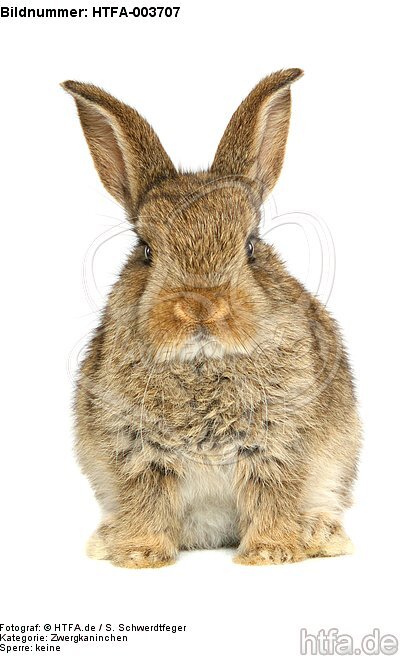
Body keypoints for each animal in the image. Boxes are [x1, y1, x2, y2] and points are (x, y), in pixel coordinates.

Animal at [62, 69, 361, 568]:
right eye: (145, 250)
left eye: (251, 246)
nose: (201, 306)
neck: (203, 363)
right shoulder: (137, 454)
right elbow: (146, 502)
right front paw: (139, 555)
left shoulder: (278, 448)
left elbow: (272, 497)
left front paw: (270, 553)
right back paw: (105, 540)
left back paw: (321, 535)